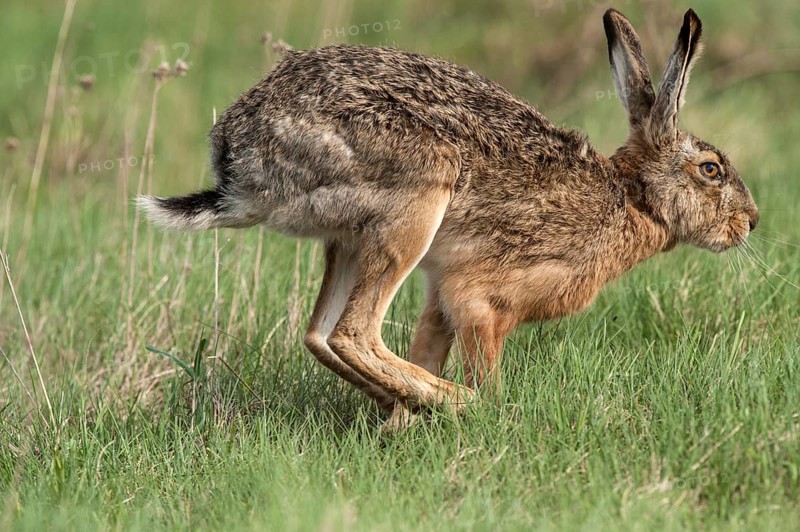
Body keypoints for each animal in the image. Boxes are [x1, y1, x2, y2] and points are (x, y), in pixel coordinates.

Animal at [138, 8, 759, 423]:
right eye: (710, 170)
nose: (751, 222)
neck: (633, 197)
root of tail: (239, 160)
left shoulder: (440, 295)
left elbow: (426, 342)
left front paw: (398, 427)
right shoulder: (481, 297)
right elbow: (482, 352)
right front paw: (490, 411)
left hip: (352, 238)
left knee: (320, 335)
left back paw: (414, 402)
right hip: (417, 199)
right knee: (353, 333)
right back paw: (459, 401)